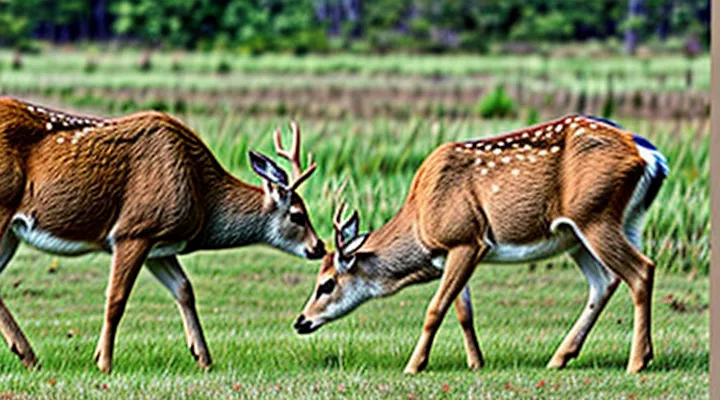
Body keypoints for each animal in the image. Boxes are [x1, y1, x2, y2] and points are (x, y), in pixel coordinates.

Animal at [0, 97, 325, 373]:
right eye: (298, 215)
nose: (319, 246)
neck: (201, 193)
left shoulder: (160, 245)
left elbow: (184, 289)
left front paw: (203, 358)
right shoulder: (135, 229)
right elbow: (116, 298)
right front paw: (104, 363)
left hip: (11, 232)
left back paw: (28, 356)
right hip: (3, 209)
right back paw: (29, 355)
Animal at [295, 115, 668, 374]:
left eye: (326, 284)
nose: (300, 321)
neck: (421, 221)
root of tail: (650, 156)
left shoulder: (465, 238)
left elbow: (435, 308)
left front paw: (413, 366)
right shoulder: (454, 251)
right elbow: (463, 311)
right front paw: (476, 363)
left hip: (594, 215)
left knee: (641, 269)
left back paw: (637, 362)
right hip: (599, 229)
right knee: (605, 282)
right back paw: (561, 358)